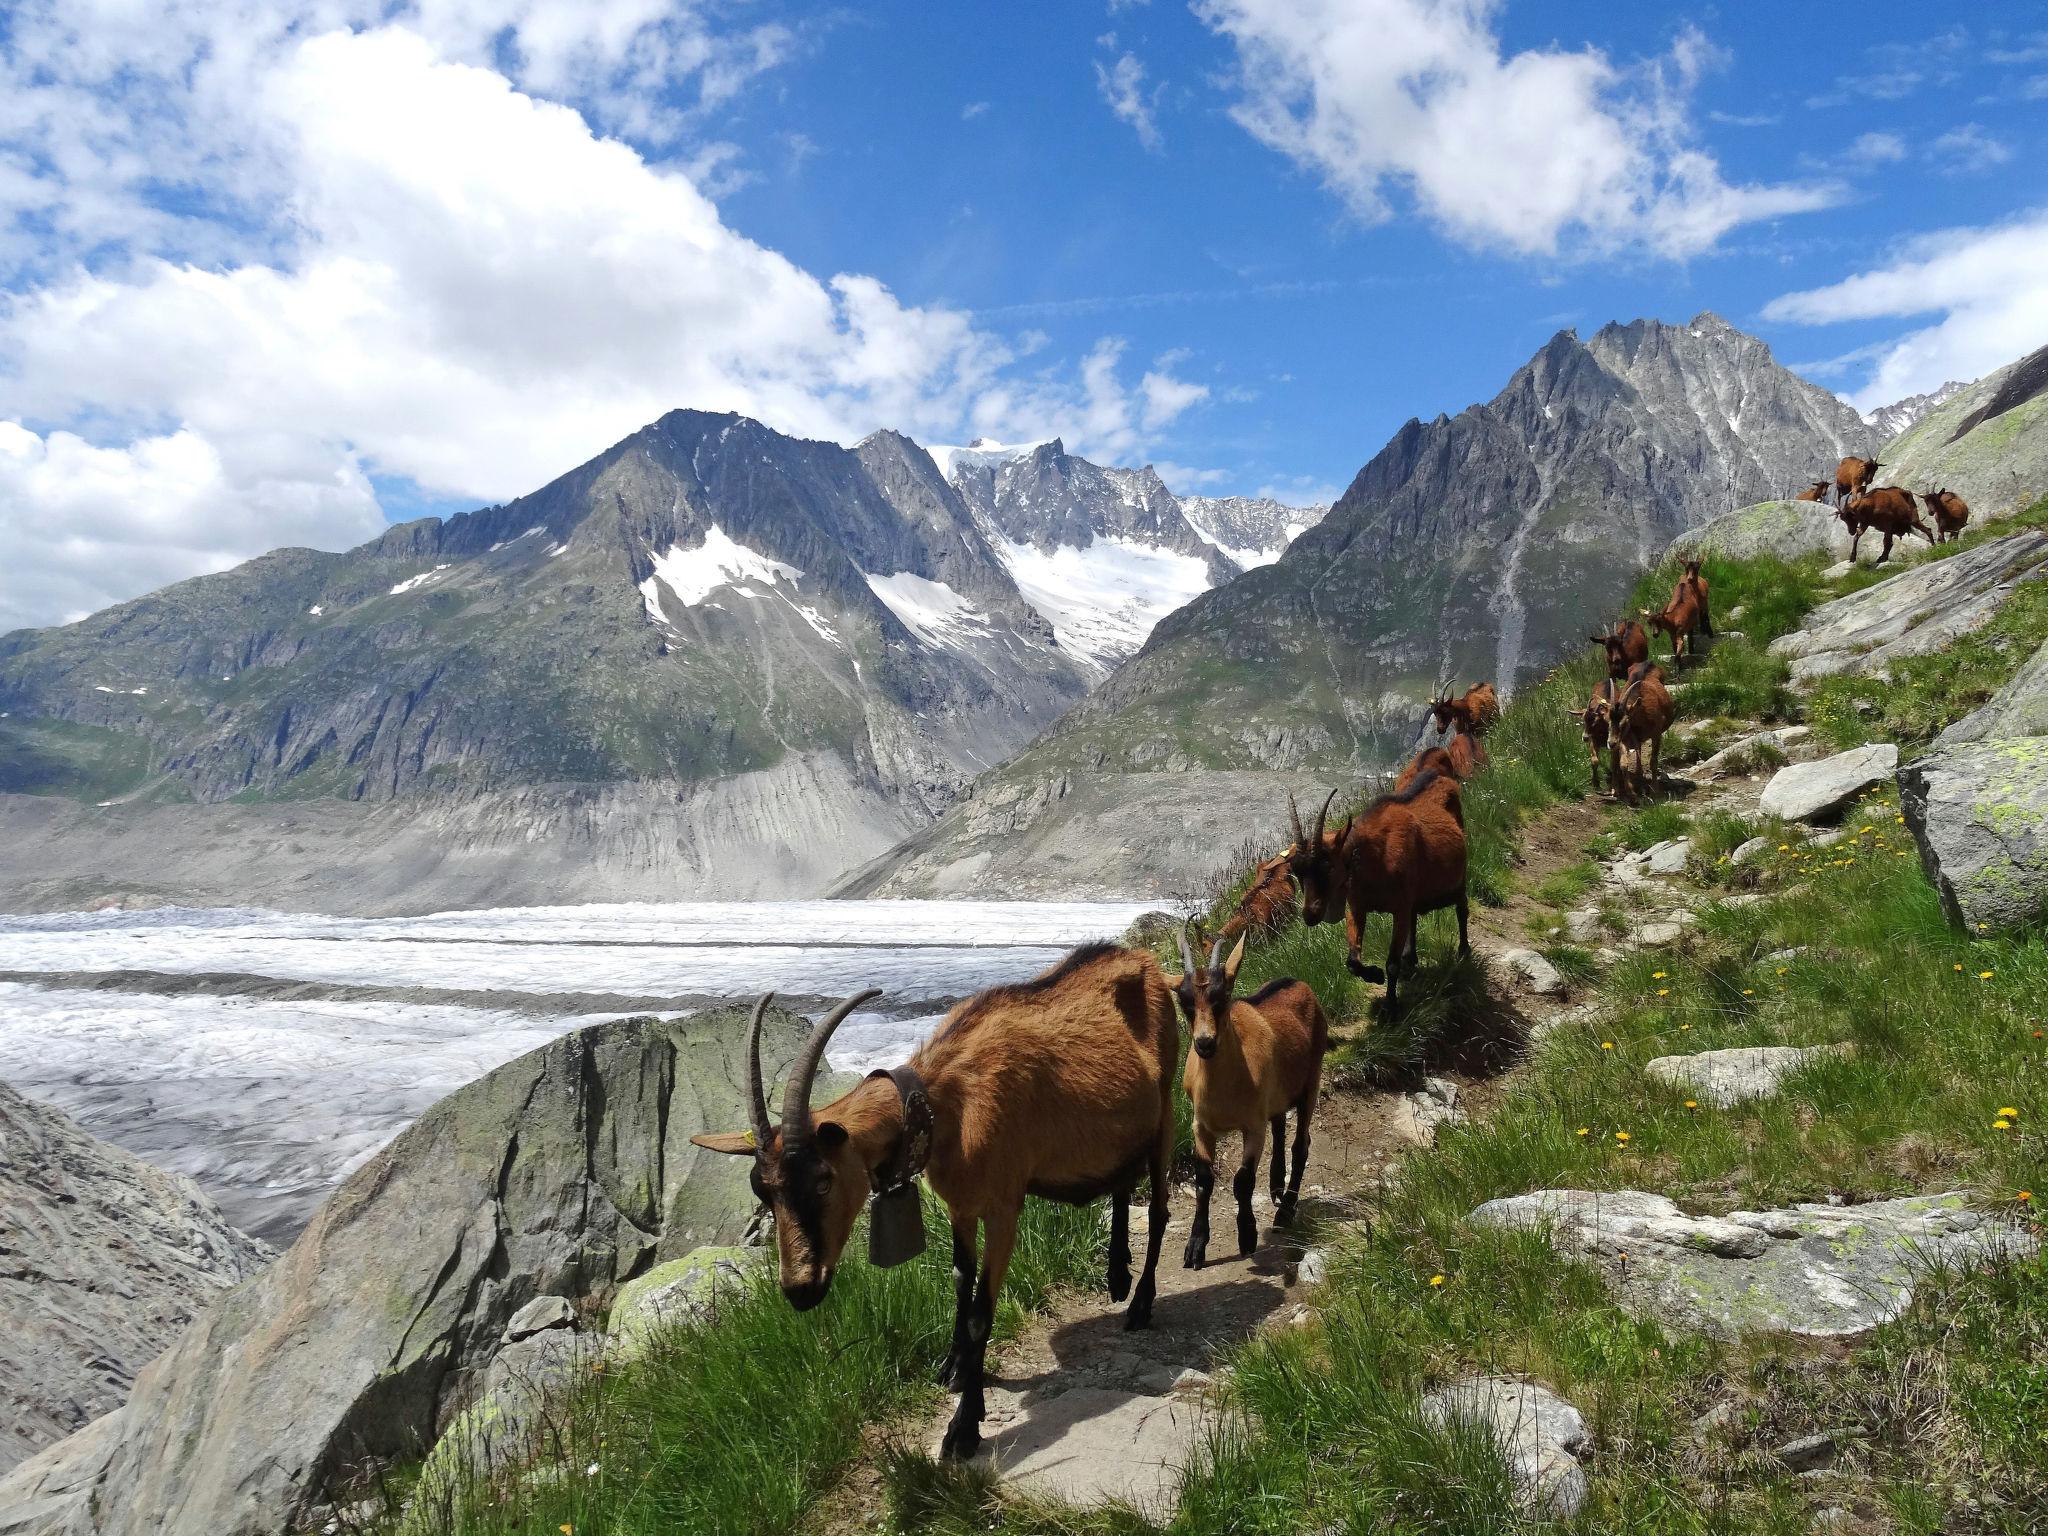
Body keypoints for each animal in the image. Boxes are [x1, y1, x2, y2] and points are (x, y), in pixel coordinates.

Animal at [696, 950, 1179, 1466]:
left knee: (1159, 1211)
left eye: (824, 1181)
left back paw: (1141, 1302)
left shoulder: (1004, 1208)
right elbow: (960, 1281)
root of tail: (1145, 960)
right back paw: (1117, 1275)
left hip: (1166, 1110)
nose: (799, 1290)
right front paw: (953, 1366)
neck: (946, 1106)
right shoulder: (960, 1208)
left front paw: (963, 1428)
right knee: (1122, 1183)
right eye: (762, 1192)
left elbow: (980, 1312)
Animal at [1171, 925, 1327, 1277]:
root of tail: (1298, 983)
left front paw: (1247, 1235)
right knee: (1281, 1126)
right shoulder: (1200, 1126)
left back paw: (1285, 1211)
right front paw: (1195, 1247)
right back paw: (1276, 1188)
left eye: (1223, 996)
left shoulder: (1252, 1126)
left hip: (1312, 1079)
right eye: (1184, 1001)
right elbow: (1203, 1181)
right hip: (1279, 1094)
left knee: (1301, 1144)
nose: (1204, 1043)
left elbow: (1242, 1180)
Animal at [1286, 774, 1466, 1015]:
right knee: (1415, 919)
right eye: (1297, 871)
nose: (1310, 915)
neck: (1376, 857)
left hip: (1460, 877)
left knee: (1461, 909)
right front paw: (1376, 975)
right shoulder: (1357, 907)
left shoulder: (1400, 908)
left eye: (1328, 866)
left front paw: (1391, 1007)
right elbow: (1352, 962)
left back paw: (1463, 951)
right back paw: (1411, 959)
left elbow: (1392, 964)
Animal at [1605, 663, 1671, 806]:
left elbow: (1653, 761)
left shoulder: (1656, 734)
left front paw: (1655, 791)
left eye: (1625, 722)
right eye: (1607, 721)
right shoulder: (1624, 738)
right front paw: (1632, 794)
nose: (1611, 743)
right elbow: (1623, 764)